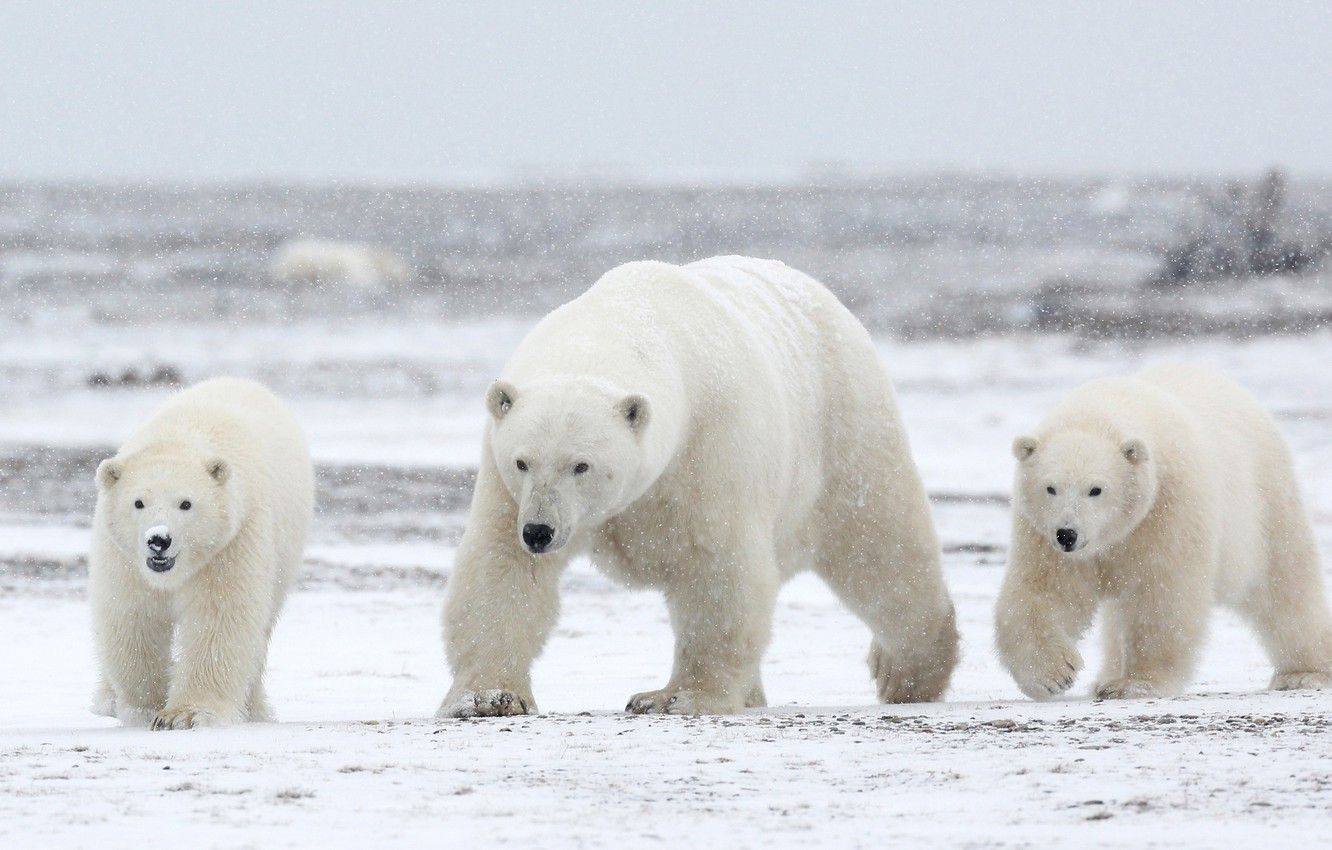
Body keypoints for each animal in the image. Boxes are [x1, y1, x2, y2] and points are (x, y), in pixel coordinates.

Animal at [91, 381, 314, 735]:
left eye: (186, 503)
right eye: (138, 502)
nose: (159, 540)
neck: (180, 437)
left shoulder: (232, 540)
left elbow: (219, 616)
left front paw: (184, 715)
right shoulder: (123, 556)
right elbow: (133, 615)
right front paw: (145, 707)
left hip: (285, 548)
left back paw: (254, 709)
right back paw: (107, 700)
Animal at [439, 254, 959, 719]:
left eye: (581, 465)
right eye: (523, 461)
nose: (540, 532)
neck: (625, 321)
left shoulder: (710, 444)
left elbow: (717, 566)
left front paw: (672, 697)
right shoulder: (505, 485)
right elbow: (501, 567)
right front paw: (489, 697)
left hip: (843, 428)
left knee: (880, 547)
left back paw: (907, 673)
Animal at [1001, 362, 1332, 703]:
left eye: (1096, 489)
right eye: (1050, 487)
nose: (1067, 534)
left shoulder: (1168, 507)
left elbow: (1162, 594)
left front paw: (1136, 682)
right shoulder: (1043, 534)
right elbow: (1044, 590)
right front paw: (1053, 674)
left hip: (1264, 502)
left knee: (1285, 585)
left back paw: (1304, 673)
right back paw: (1105, 675)